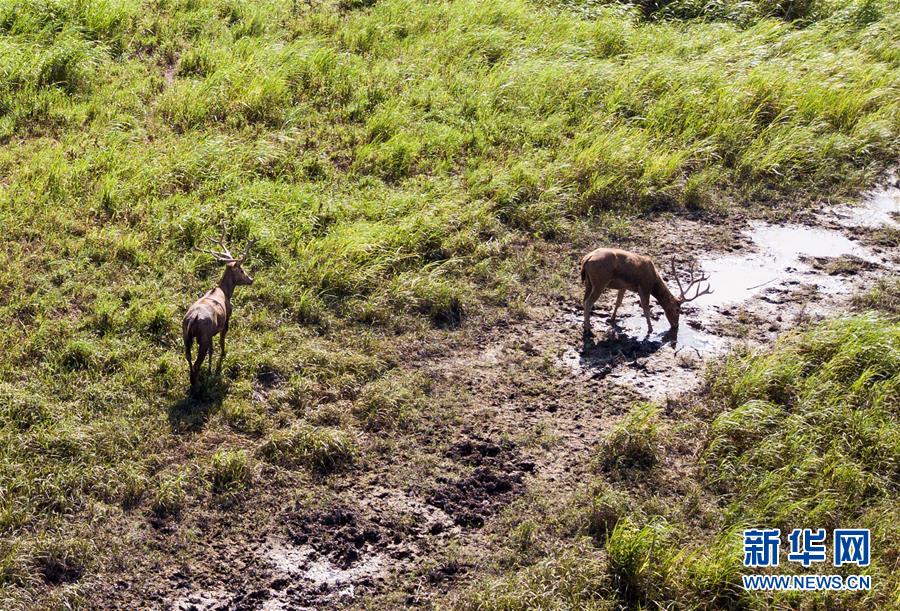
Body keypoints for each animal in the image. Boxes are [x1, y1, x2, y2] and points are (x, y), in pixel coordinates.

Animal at [182, 225, 255, 388]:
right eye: (242, 270)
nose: (251, 279)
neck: (226, 292)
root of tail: (193, 319)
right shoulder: (227, 318)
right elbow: (222, 340)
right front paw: (223, 355)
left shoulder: (210, 334)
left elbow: (212, 350)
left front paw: (210, 370)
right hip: (202, 336)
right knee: (196, 362)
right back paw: (197, 386)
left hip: (186, 334)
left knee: (188, 357)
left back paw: (192, 380)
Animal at [580, 247, 712, 338]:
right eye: (677, 310)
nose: (676, 325)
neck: (654, 281)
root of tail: (587, 259)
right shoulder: (644, 286)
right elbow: (646, 308)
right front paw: (651, 329)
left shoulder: (624, 286)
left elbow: (618, 302)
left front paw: (612, 319)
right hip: (600, 281)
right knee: (588, 302)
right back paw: (588, 329)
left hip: (588, 282)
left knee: (584, 300)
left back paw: (585, 325)